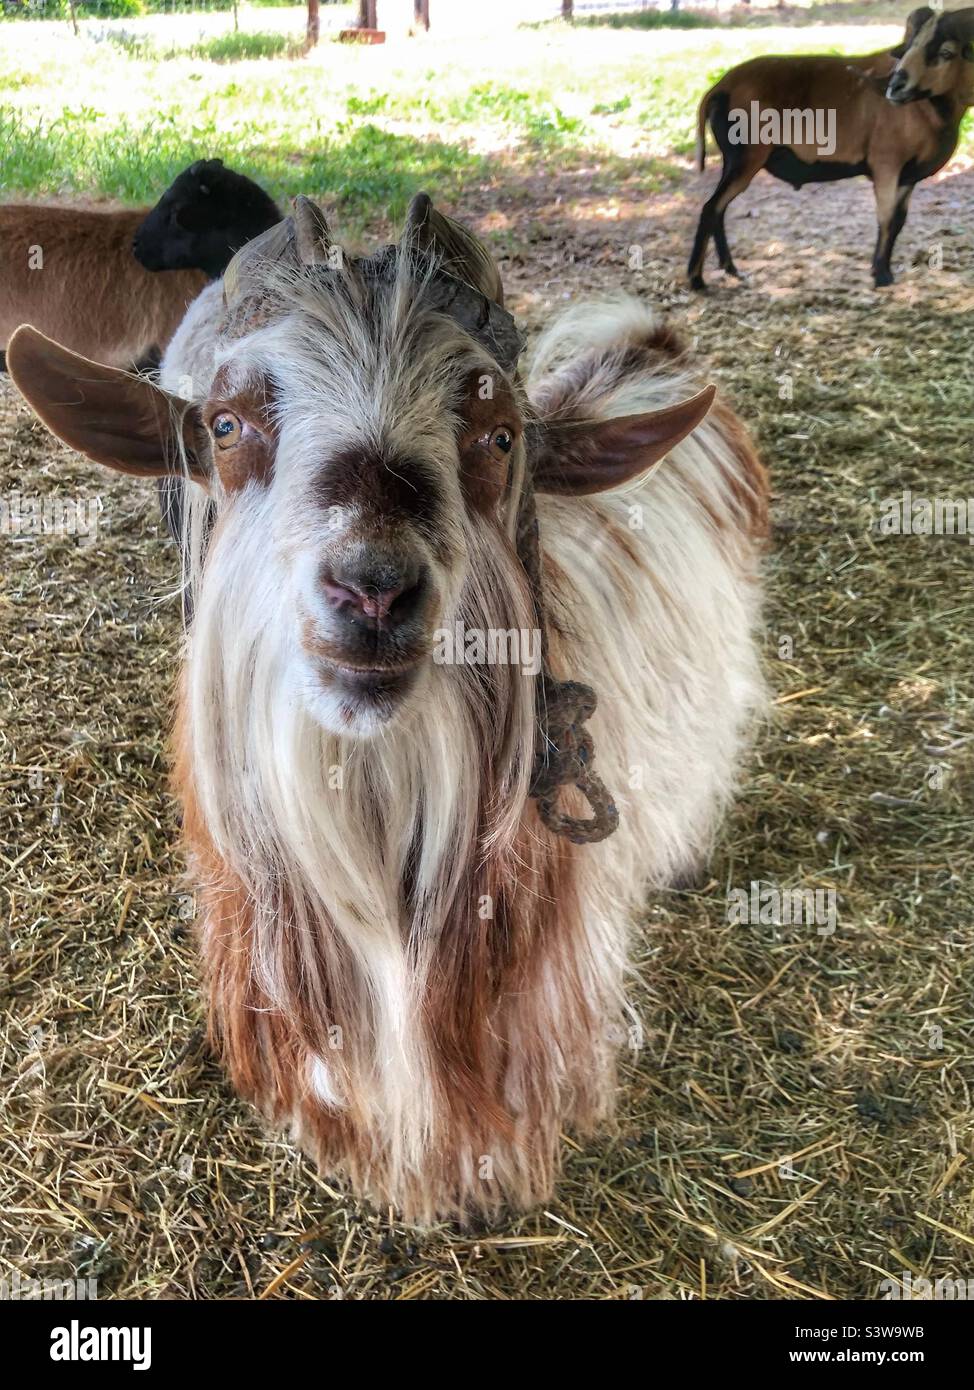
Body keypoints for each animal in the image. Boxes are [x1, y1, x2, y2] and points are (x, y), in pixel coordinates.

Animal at [689, 8, 966, 290]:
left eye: (946, 52)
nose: (896, 88)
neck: (930, 109)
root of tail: (717, 89)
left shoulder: (908, 176)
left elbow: (898, 222)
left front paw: (882, 271)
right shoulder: (887, 164)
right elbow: (886, 219)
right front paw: (881, 276)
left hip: (732, 160)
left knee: (719, 210)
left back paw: (731, 269)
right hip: (746, 156)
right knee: (711, 208)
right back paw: (697, 279)